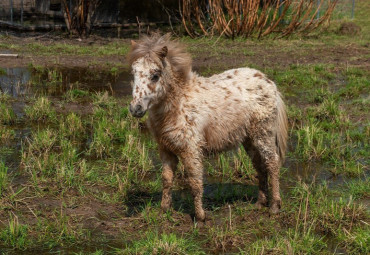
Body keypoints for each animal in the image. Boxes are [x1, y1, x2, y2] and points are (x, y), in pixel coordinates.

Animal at [129, 34, 288, 221]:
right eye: (133, 74)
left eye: (155, 75)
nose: (136, 109)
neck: (179, 103)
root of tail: (267, 81)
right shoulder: (166, 149)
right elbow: (167, 179)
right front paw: (164, 210)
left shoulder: (191, 150)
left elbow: (195, 182)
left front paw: (200, 217)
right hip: (249, 139)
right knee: (259, 165)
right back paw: (260, 203)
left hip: (263, 133)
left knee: (272, 163)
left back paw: (275, 206)